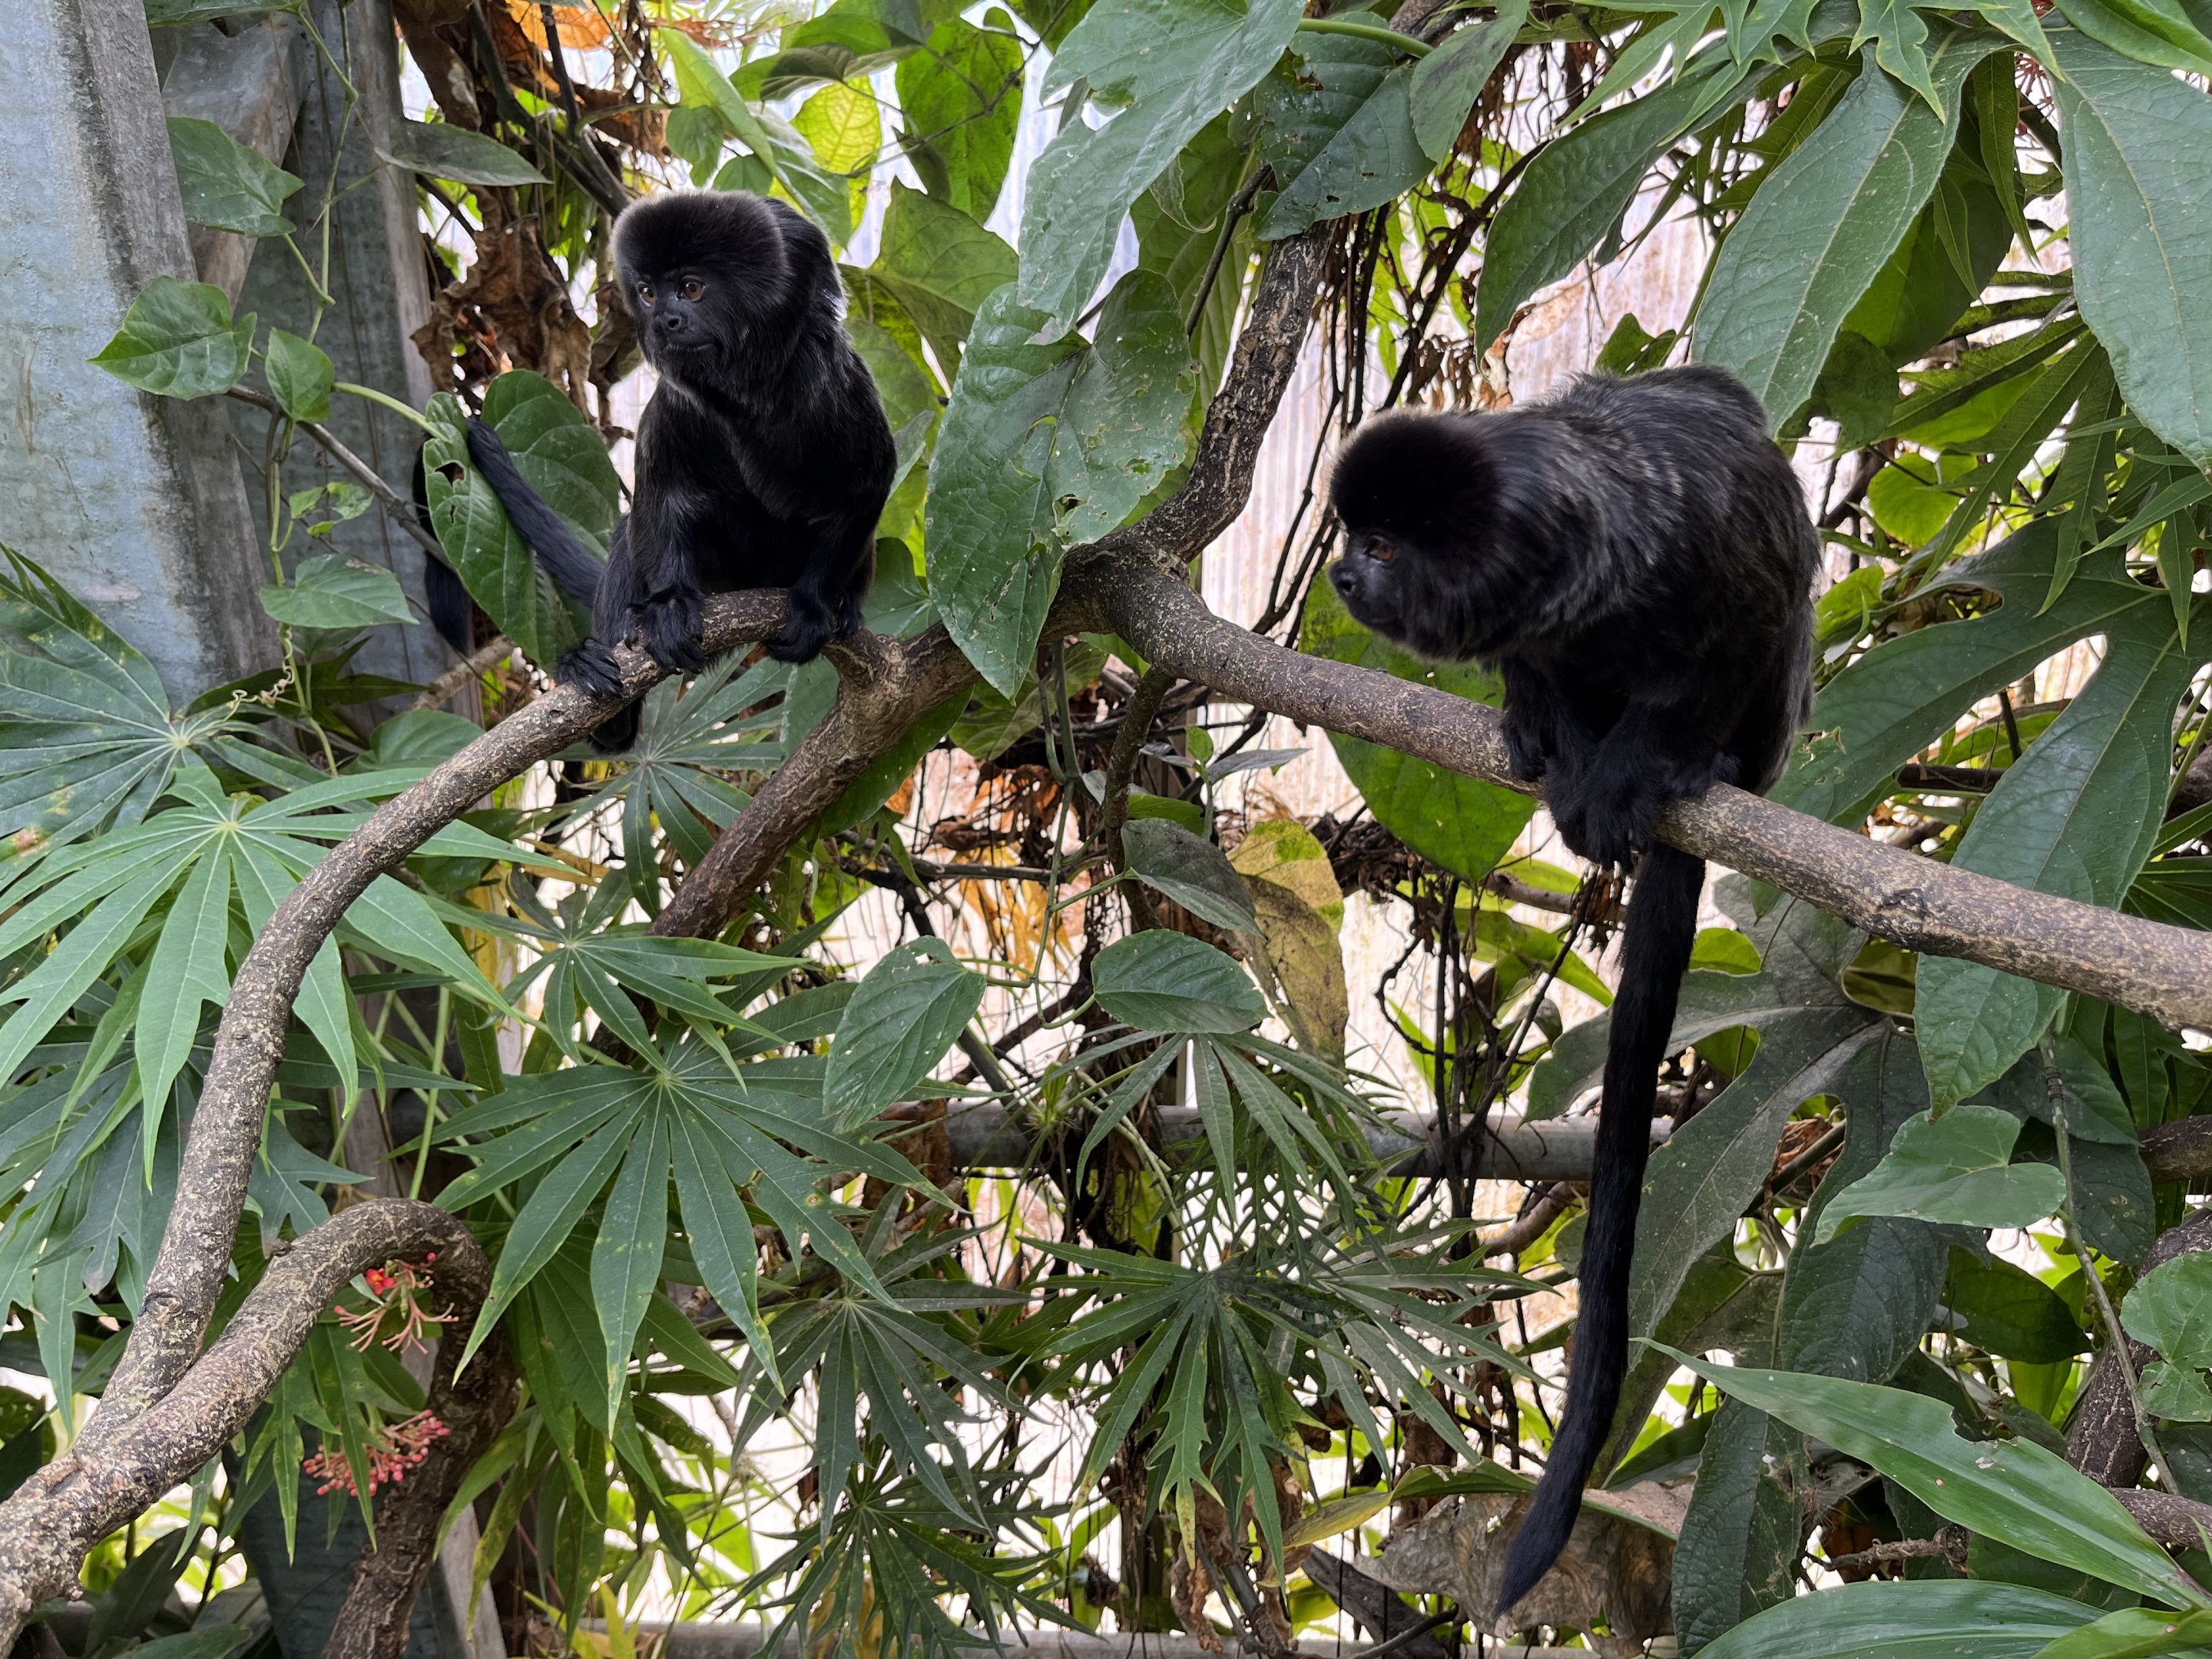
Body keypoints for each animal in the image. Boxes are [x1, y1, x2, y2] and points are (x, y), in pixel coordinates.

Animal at [463, 189, 896, 750]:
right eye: (648, 293)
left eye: (690, 289)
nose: (663, 320)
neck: (749, 396)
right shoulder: (674, 408)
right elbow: (660, 501)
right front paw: (667, 607)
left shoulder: (839, 389)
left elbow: (865, 488)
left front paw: (816, 604)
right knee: (629, 538)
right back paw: (604, 698)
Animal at [1326, 364, 1817, 1615]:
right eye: (1353, 539)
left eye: (1385, 547)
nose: (1342, 575)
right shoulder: (1546, 632)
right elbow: (1539, 668)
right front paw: (1551, 740)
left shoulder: (1714, 574)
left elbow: (1721, 652)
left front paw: (1639, 769)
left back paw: (1691, 774)